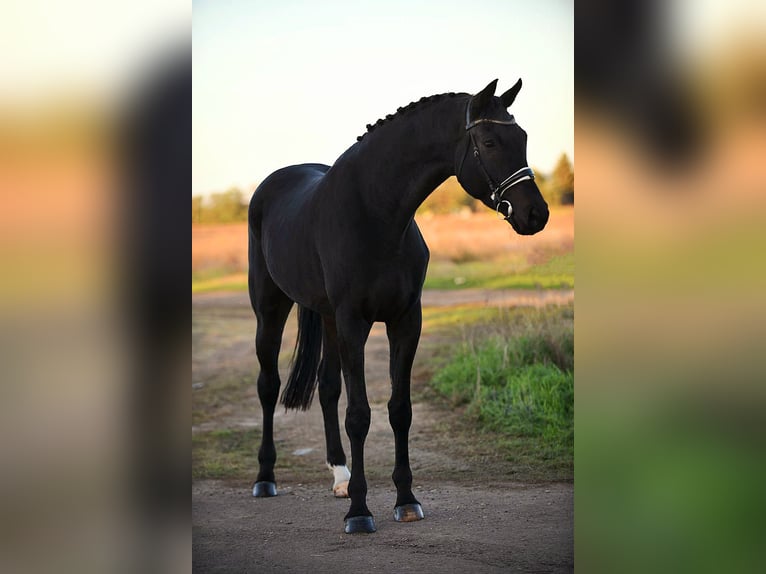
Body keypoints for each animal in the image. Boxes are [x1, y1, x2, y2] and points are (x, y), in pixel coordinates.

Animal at [249, 79, 548, 532]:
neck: (376, 214)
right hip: (271, 310)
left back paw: (340, 476)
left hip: (328, 319)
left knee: (327, 387)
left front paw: (406, 500)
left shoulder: (406, 321)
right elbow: (359, 415)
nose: (536, 214)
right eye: (490, 141)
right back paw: (265, 478)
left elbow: (399, 410)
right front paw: (360, 512)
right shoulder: (355, 322)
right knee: (269, 386)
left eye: (525, 138)